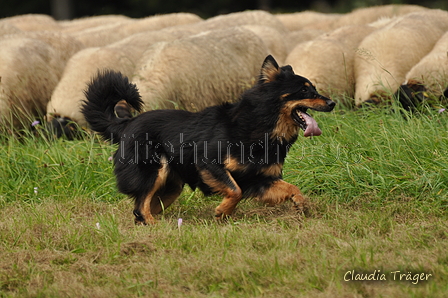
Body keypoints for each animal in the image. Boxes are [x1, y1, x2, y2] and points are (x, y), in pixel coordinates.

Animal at [82, 55, 334, 224]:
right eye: (305, 91)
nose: (332, 103)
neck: (261, 126)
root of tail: (127, 123)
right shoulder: (209, 163)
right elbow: (235, 190)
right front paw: (223, 211)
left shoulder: (262, 179)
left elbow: (291, 187)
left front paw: (302, 204)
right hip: (154, 171)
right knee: (140, 206)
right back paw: (155, 227)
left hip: (171, 187)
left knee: (143, 208)